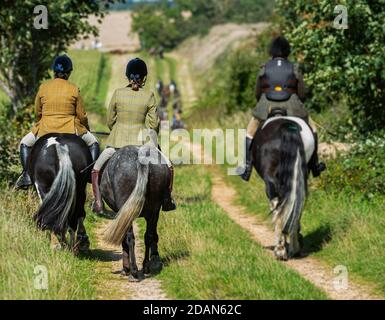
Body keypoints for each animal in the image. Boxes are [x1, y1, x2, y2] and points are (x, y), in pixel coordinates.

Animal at [100, 144, 170, 282]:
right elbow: (149, 236)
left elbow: (124, 239)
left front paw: (125, 269)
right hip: (153, 209)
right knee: (148, 236)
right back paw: (146, 267)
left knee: (130, 238)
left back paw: (133, 271)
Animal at [254, 116, 314, 262]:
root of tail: (287, 127)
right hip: (300, 175)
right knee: (297, 203)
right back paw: (294, 248)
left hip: (271, 180)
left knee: (277, 206)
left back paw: (280, 249)